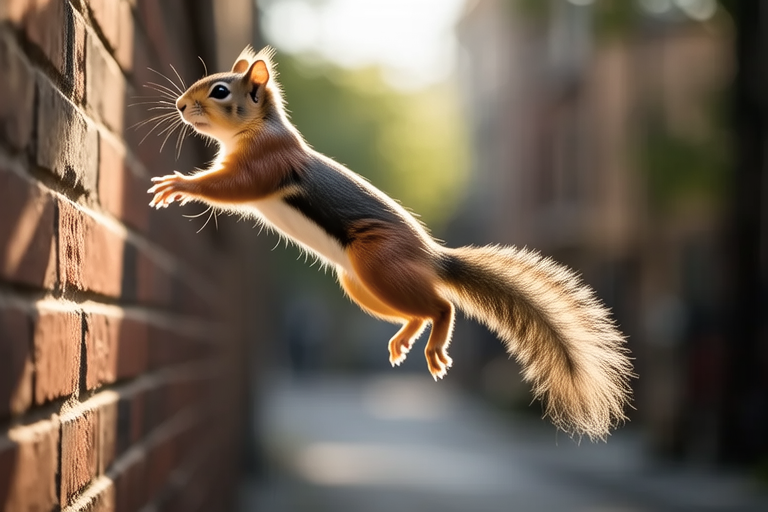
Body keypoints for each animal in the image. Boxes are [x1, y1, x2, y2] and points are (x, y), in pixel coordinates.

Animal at [148, 46, 633, 440]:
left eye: (221, 91)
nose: (181, 105)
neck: (255, 131)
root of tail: (433, 259)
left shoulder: (266, 165)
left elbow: (232, 187)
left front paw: (180, 185)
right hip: (361, 283)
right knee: (419, 310)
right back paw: (405, 337)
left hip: (379, 264)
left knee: (442, 306)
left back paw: (435, 343)